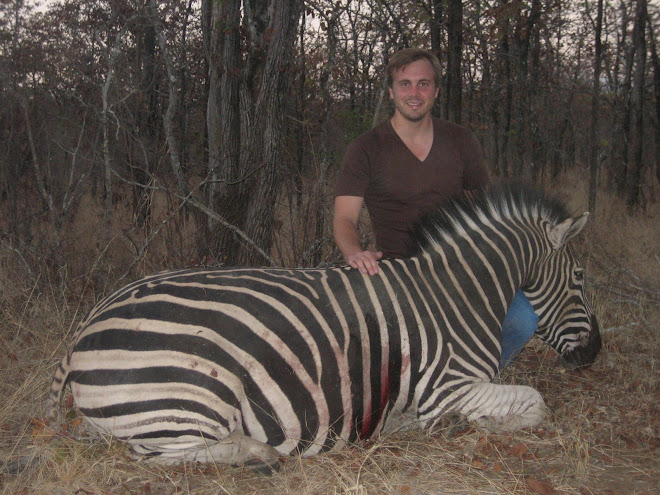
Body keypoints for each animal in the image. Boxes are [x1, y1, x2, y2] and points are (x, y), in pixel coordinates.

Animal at [47, 184, 604, 470]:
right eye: (579, 278)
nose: (595, 352)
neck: (455, 296)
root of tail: (84, 331)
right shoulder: (449, 387)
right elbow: (535, 404)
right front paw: (469, 426)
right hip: (190, 397)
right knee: (159, 455)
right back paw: (259, 454)